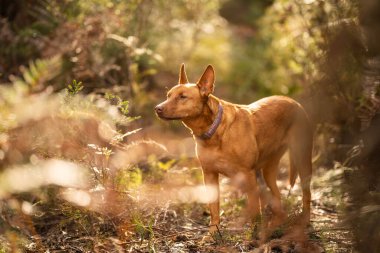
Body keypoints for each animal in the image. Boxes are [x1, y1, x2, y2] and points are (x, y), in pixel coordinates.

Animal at [154, 63, 312, 233]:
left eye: (182, 97)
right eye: (168, 96)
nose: (157, 108)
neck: (214, 131)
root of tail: (293, 101)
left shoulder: (249, 176)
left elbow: (255, 210)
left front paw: (253, 235)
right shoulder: (209, 175)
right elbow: (214, 209)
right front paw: (212, 234)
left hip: (302, 161)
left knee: (306, 194)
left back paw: (304, 221)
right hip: (268, 170)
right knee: (277, 197)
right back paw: (276, 224)